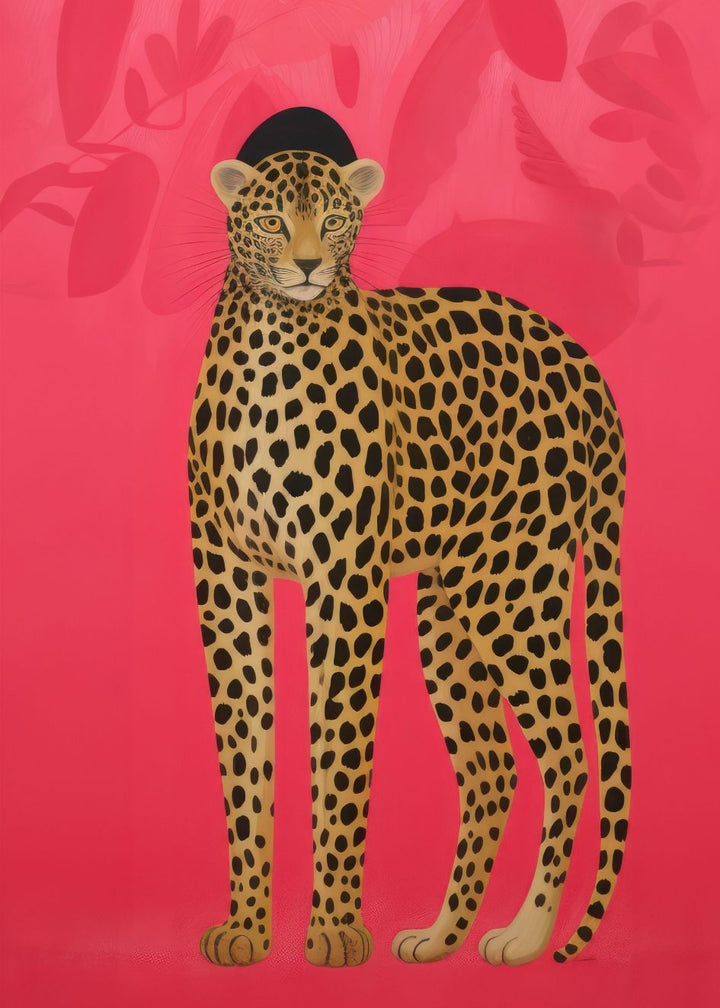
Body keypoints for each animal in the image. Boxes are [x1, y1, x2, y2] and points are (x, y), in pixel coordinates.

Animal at [188, 123, 630, 970]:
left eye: (333, 221)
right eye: (272, 221)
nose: (306, 266)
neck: (270, 338)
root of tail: (584, 364)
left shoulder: (343, 580)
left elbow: (339, 750)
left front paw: (331, 930)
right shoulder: (226, 579)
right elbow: (242, 755)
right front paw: (247, 929)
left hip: (514, 592)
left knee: (566, 752)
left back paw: (524, 936)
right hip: (450, 608)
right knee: (492, 770)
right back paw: (439, 937)